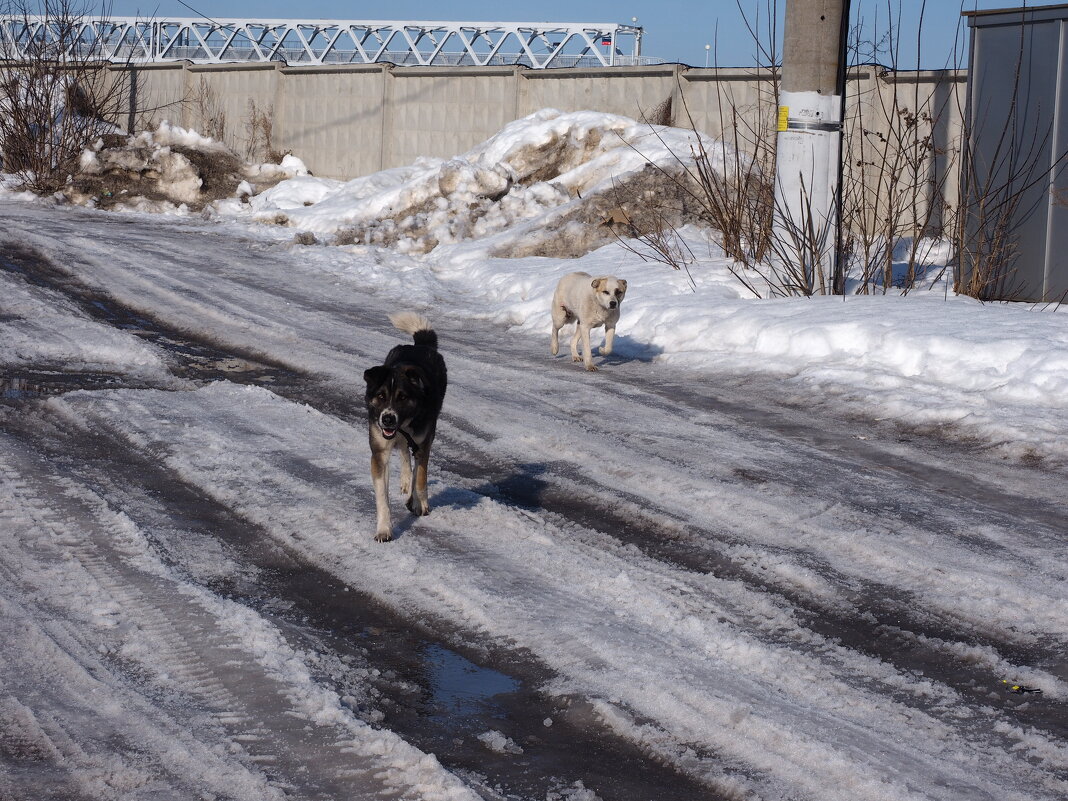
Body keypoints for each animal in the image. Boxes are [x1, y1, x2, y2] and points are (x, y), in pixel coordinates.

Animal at [363, 313, 446, 546]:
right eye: (381, 396)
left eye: (402, 397)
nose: (388, 419)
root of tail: (419, 346)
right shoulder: (380, 450)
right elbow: (382, 497)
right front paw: (384, 530)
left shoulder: (424, 440)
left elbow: (422, 476)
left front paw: (419, 503)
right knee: (402, 450)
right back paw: (406, 481)